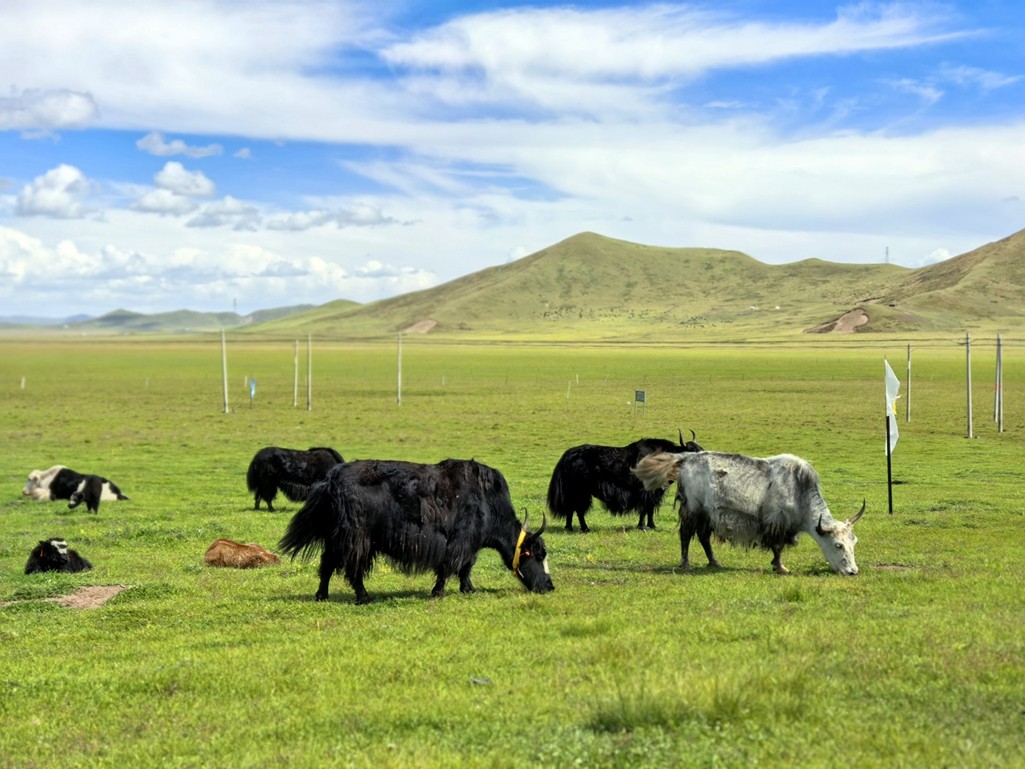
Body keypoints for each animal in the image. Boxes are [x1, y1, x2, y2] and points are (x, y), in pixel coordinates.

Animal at [279, 458, 554, 604]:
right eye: (538, 555)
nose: (550, 586)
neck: (488, 502)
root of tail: (331, 479)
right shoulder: (461, 541)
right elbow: (452, 566)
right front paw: (439, 592)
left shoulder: (469, 544)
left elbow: (466, 567)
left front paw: (468, 589)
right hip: (357, 537)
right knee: (352, 567)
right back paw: (364, 597)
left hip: (336, 537)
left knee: (327, 564)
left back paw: (321, 596)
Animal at [546, 430, 704, 532]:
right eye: (692, 451)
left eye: (701, 449)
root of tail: (568, 455)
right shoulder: (644, 491)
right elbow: (644, 509)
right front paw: (642, 526)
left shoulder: (654, 492)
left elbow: (650, 509)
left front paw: (652, 526)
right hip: (581, 491)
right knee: (578, 509)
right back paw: (585, 528)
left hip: (574, 490)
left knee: (571, 508)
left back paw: (569, 527)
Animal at [631, 451, 865, 575]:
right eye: (838, 545)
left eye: (854, 542)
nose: (853, 572)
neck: (798, 490)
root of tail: (687, 458)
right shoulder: (776, 522)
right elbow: (778, 547)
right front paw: (781, 567)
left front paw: (778, 566)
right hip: (692, 509)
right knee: (686, 535)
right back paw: (686, 564)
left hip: (707, 514)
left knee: (704, 537)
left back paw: (714, 562)